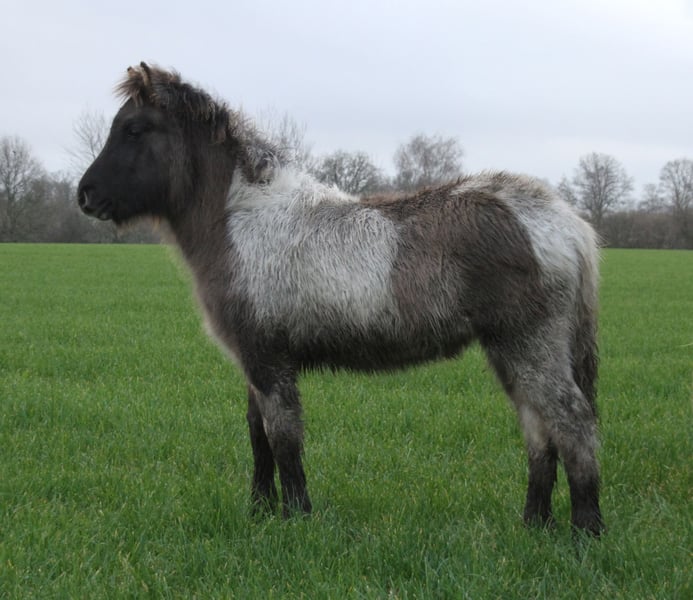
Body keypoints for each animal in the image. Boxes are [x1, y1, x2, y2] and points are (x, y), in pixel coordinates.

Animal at [78, 62, 604, 535]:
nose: (84, 196)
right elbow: (257, 436)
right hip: (511, 353)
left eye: (134, 129)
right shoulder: (253, 362)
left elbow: (284, 438)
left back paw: (586, 532)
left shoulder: (269, 361)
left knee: (573, 424)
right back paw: (534, 525)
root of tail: (569, 223)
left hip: (530, 347)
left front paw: (296, 517)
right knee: (540, 431)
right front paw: (260, 511)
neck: (244, 219)